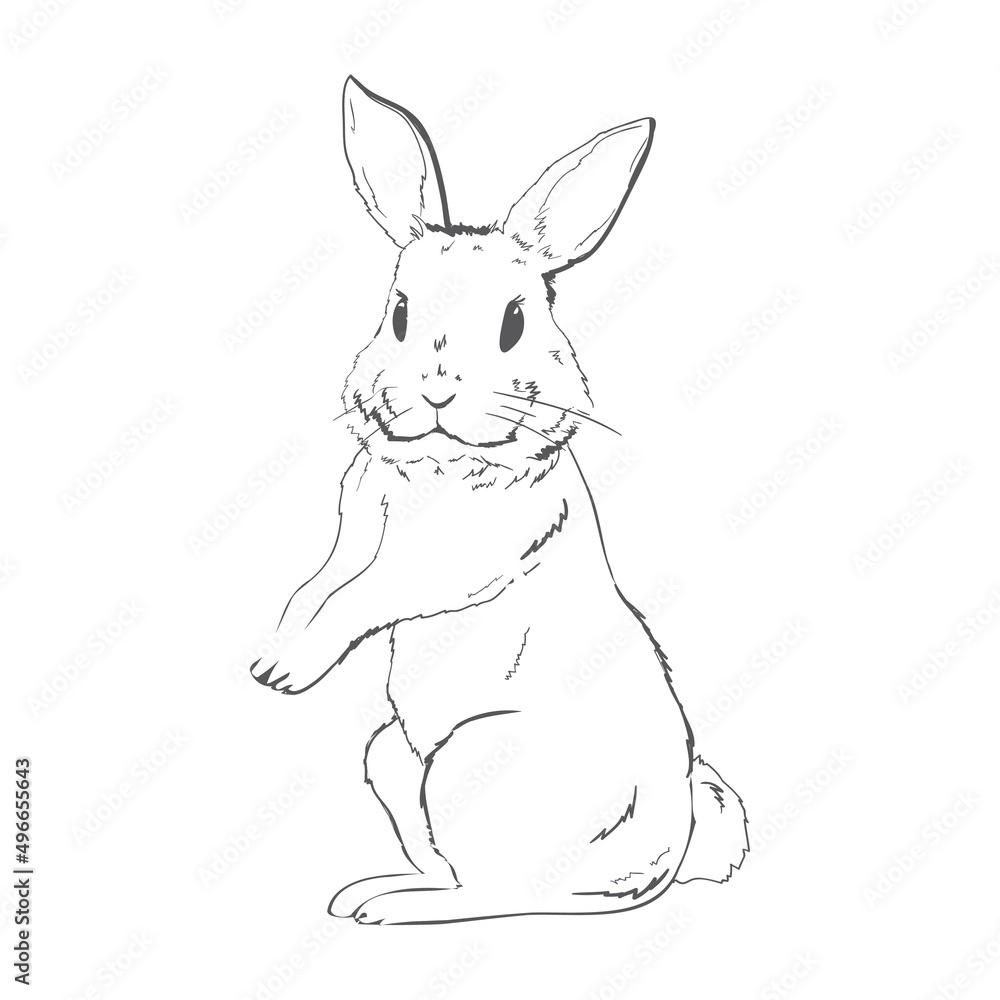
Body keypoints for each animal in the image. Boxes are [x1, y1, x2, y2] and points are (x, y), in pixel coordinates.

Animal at [250, 76, 748, 925]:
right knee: (453, 866)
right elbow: (322, 587)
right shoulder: (357, 533)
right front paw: (273, 656)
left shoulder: (455, 562)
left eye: (516, 320)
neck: (442, 463)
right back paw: (368, 892)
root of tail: (669, 850)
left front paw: (287, 671)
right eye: (398, 312)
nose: (436, 390)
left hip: (480, 758)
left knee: (504, 892)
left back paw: (389, 910)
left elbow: (365, 597)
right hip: (392, 757)